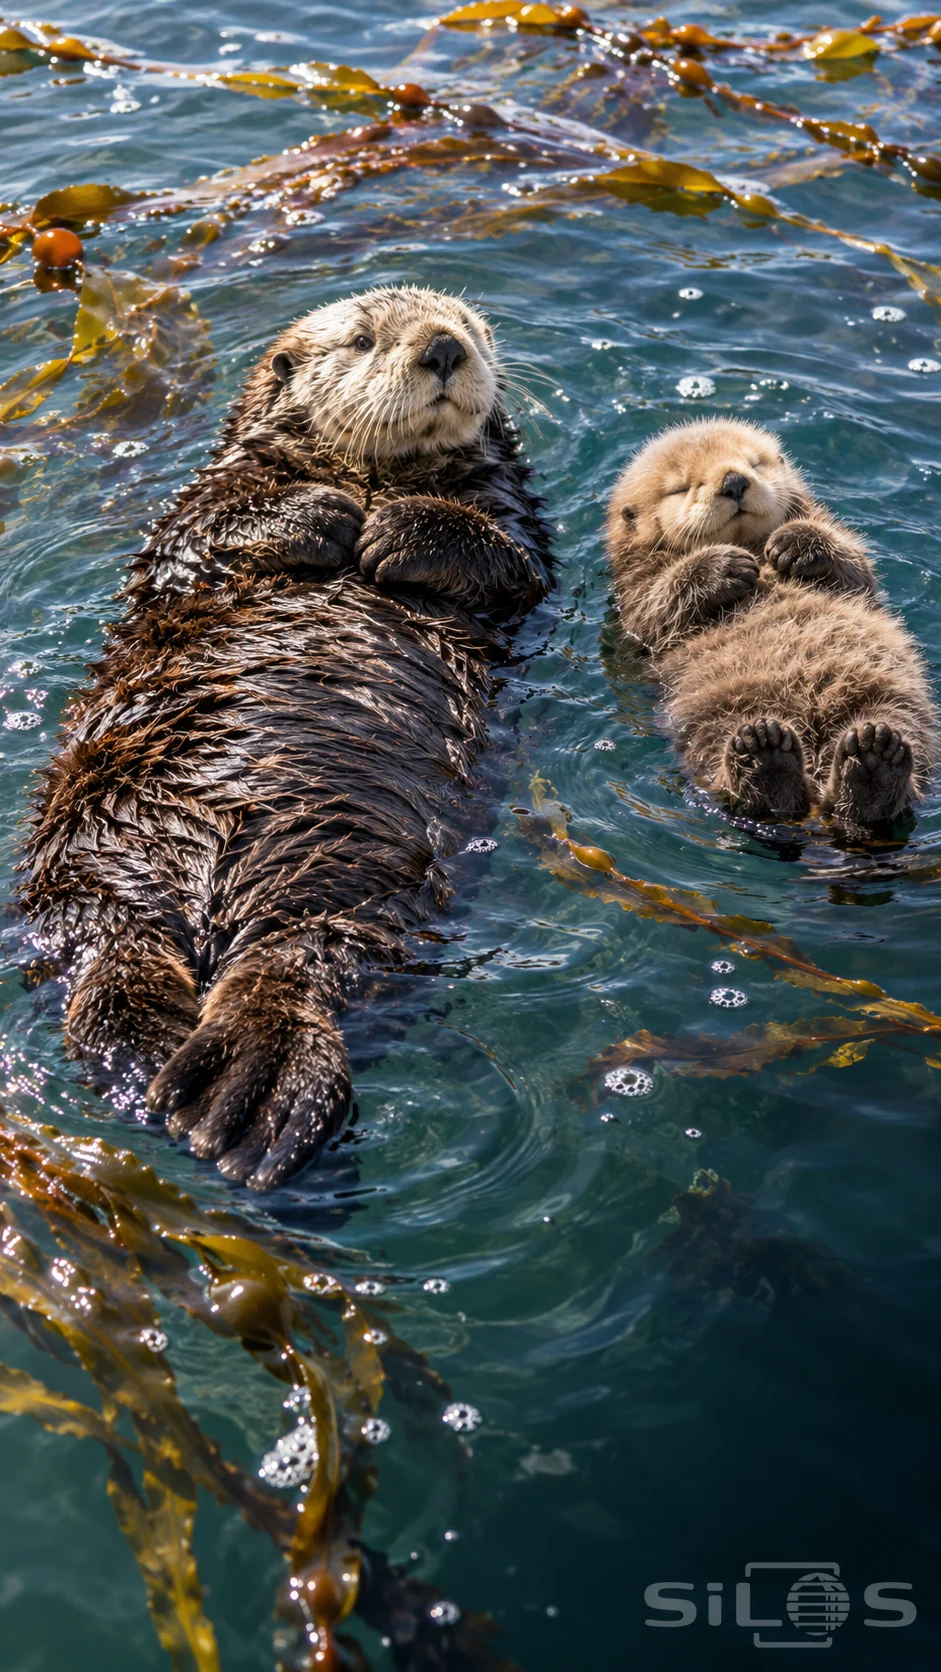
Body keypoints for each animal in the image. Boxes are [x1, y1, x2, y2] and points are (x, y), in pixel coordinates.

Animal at [22, 286, 552, 1191]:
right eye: (363, 339)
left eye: (475, 332)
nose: (445, 348)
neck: (371, 474)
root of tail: (214, 902)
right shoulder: (205, 499)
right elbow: (192, 538)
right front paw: (325, 517)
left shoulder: (514, 523)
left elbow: (515, 567)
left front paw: (396, 531)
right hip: (83, 857)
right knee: (108, 951)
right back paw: (159, 1061)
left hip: (357, 899)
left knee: (287, 968)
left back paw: (230, 1089)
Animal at [606, 418, 934, 825]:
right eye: (682, 487)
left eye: (754, 464)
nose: (734, 482)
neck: (751, 545)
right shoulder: (633, 594)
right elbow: (657, 607)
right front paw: (725, 565)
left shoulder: (850, 566)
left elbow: (856, 567)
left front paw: (791, 543)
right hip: (712, 716)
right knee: (738, 779)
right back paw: (765, 755)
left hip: (892, 699)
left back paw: (874, 758)